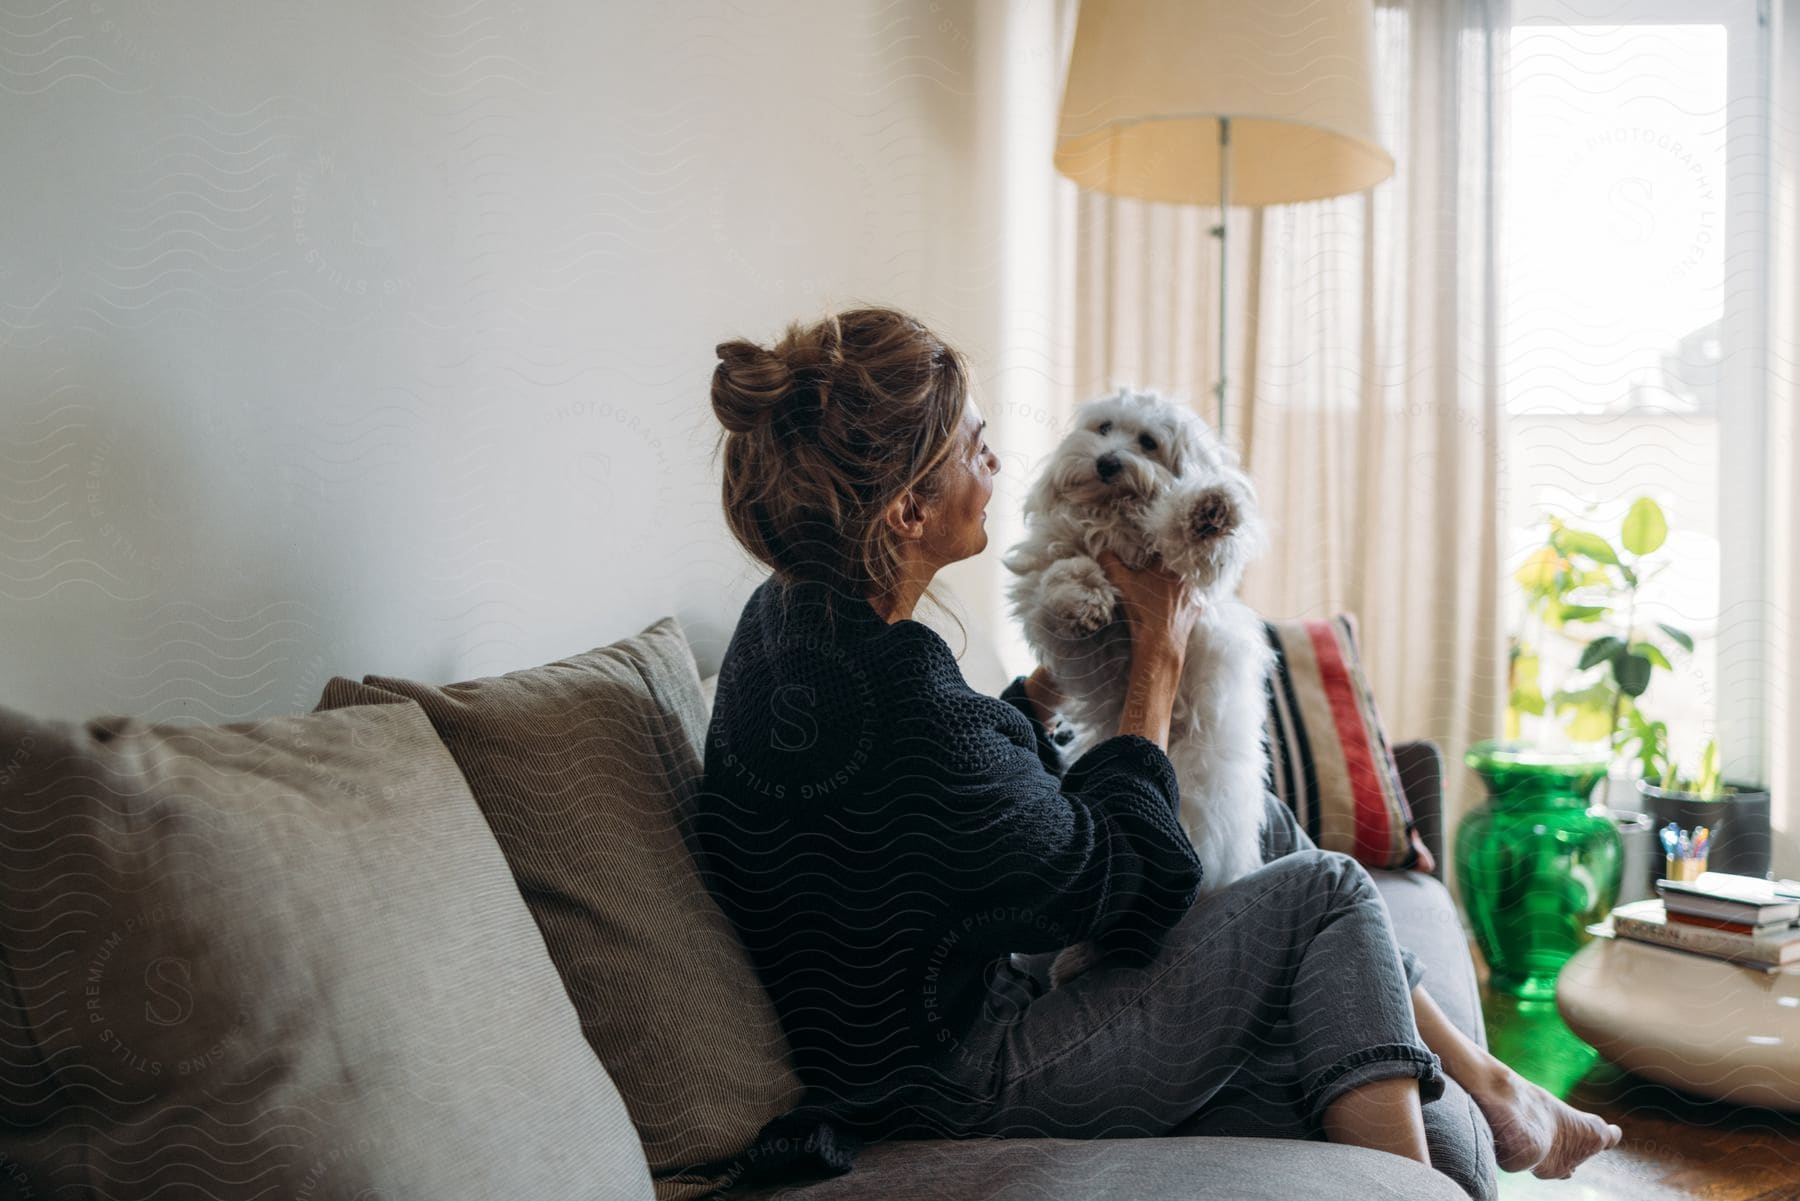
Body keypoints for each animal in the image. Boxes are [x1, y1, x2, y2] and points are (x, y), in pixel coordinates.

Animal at [1000, 390, 1281, 979]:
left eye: (1148, 442)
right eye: (1104, 428)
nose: (1108, 462)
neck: (1113, 515)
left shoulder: (1186, 583)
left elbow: (1183, 536)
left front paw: (1209, 509)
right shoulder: (1057, 598)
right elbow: (1065, 574)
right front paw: (1084, 599)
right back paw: (1073, 961)